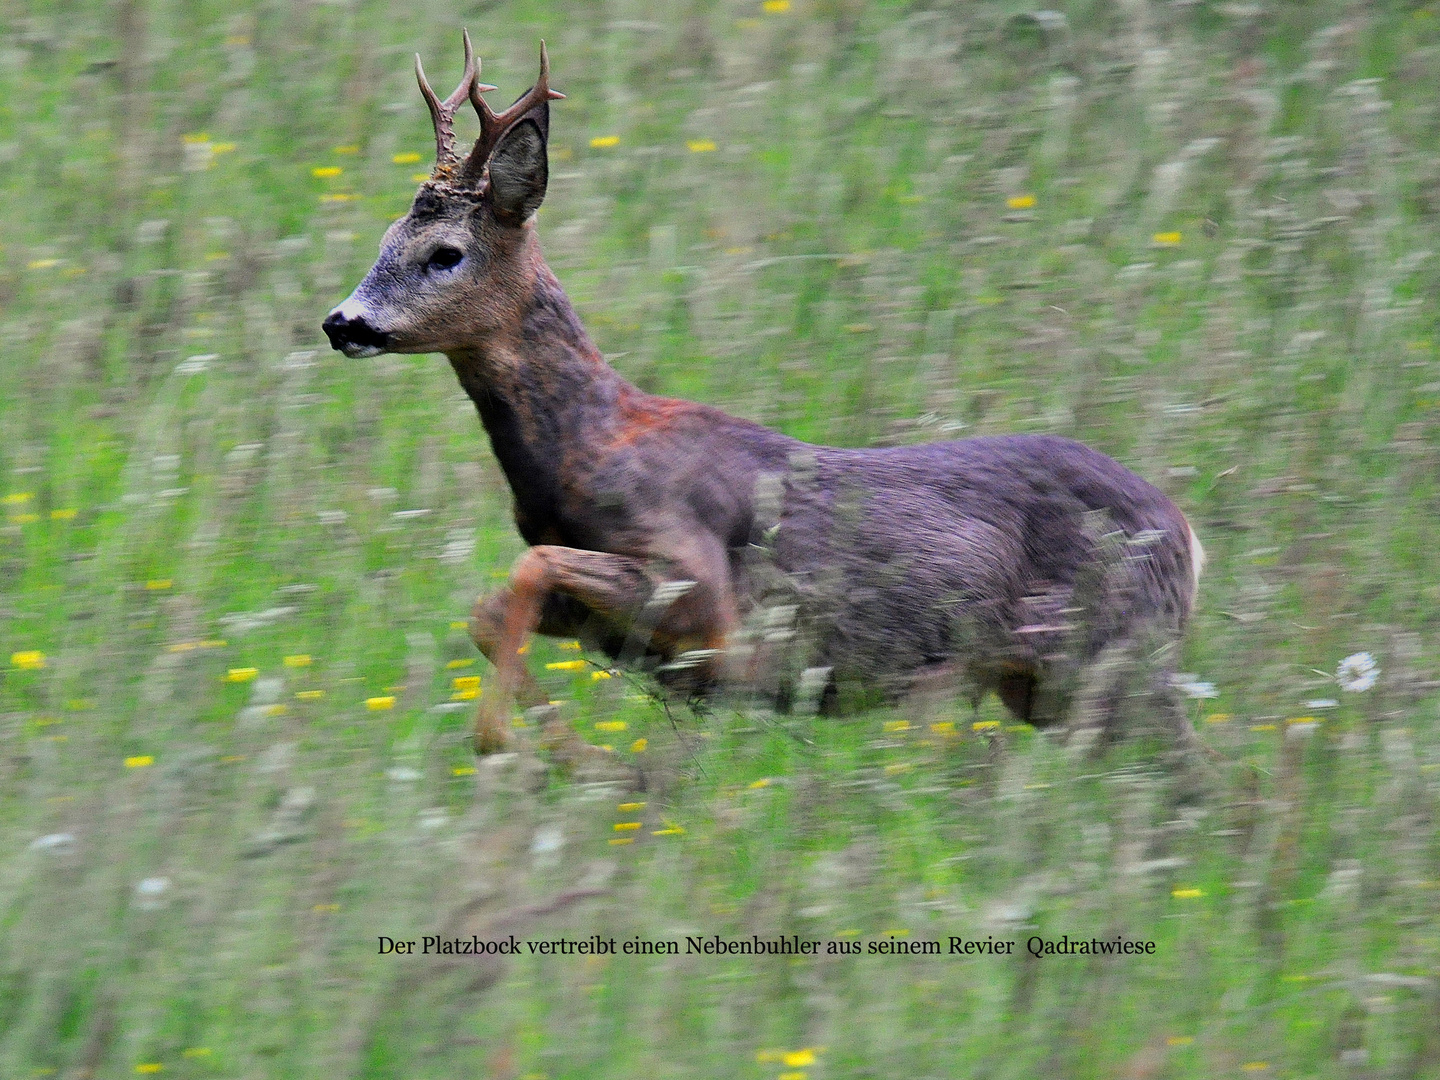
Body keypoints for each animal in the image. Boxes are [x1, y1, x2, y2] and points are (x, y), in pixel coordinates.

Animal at [324, 33, 1203, 760]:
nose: (342, 322)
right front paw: (579, 763)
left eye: (445, 253)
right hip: (1049, 684)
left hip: (1109, 659)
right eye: (386, 239)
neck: (587, 448)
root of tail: (1187, 537)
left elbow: (531, 567)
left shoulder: (703, 597)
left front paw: (514, 746)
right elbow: (490, 606)